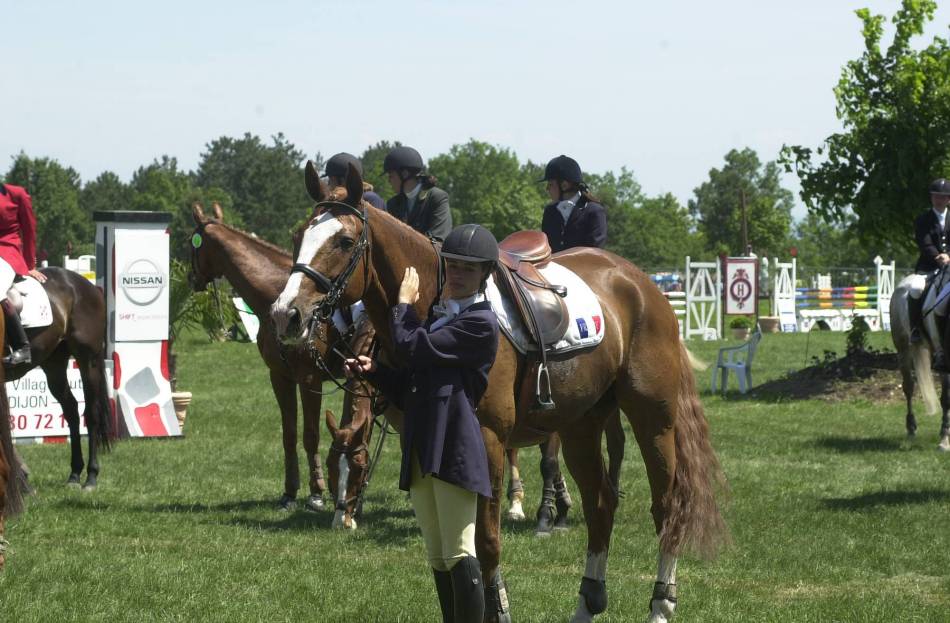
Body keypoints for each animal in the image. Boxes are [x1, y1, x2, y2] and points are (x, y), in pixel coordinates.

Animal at [274, 167, 728, 623]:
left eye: (344, 241)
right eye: (297, 235)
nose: (285, 314)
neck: (435, 309)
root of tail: (640, 282)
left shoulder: (489, 440)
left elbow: (485, 542)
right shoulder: (421, 442)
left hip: (654, 421)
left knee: (666, 507)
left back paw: (661, 604)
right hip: (581, 426)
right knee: (601, 504)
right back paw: (587, 602)